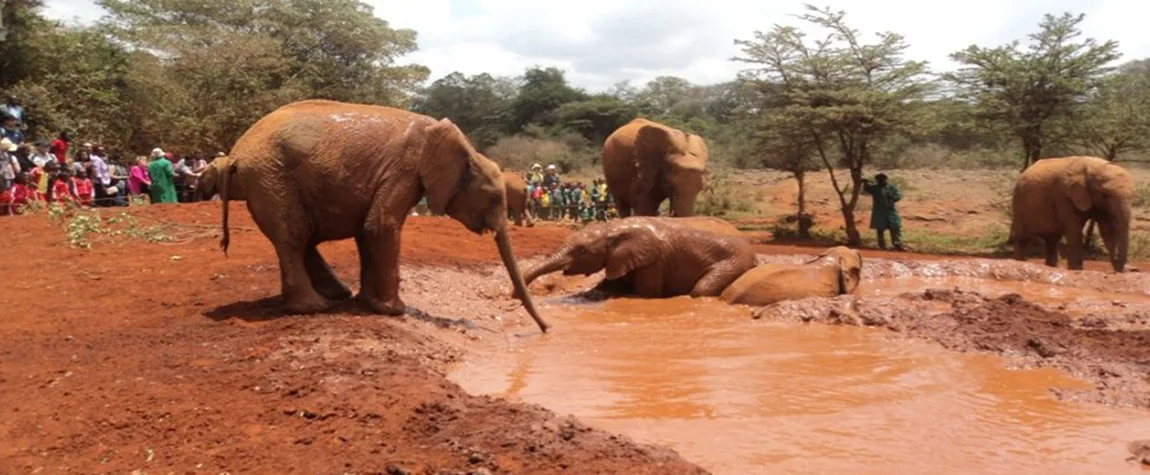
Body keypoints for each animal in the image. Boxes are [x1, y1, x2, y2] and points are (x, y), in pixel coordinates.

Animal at [200, 98, 549, 331]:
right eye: (494, 197)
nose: (546, 330)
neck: (463, 146)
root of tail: (234, 154)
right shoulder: (404, 170)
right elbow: (381, 225)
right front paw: (394, 311)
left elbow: (368, 230)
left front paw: (368, 303)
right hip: (270, 178)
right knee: (294, 236)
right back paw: (314, 307)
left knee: (302, 236)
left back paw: (336, 296)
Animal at [519, 215, 754, 296]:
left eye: (583, 251)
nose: (515, 295)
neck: (613, 228)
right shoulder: (622, 258)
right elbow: (608, 285)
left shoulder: (653, 262)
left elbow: (644, 293)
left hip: (735, 262)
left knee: (701, 290)